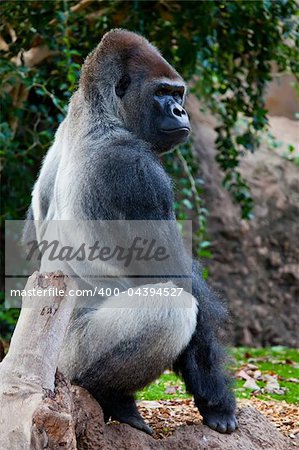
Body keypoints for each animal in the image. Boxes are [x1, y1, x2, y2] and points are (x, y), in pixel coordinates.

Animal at [26, 29, 239, 436]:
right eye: (162, 93)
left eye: (178, 94)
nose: (180, 111)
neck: (98, 112)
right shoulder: (135, 171)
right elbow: (180, 287)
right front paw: (216, 398)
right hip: (70, 358)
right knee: (172, 309)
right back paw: (111, 397)